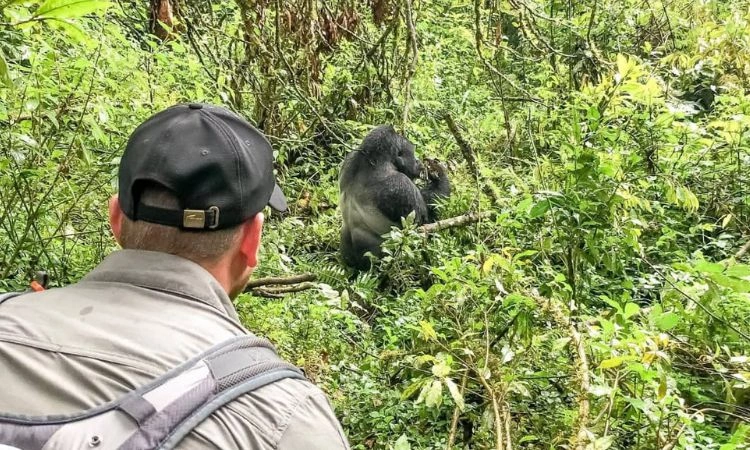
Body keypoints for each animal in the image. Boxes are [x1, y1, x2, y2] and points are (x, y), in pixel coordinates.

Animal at [339, 125, 451, 270]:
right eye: (412, 153)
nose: (418, 161)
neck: (373, 160)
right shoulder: (401, 183)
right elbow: (421, 225)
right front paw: (438, 172)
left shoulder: (349, 159)